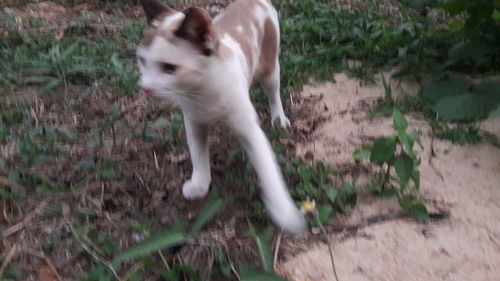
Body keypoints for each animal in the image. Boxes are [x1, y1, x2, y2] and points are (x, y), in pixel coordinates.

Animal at [138, 0, 308, 232]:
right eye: (142, 61)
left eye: (169, 68)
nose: (145, 88)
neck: (202, 92)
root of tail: (254, 1)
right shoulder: (194, 123)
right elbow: (198, 156)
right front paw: (199, 185)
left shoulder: (250, 131)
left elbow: (268, 171)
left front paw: (285, 213)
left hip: (270, 66)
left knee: (273, 91)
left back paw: (278, 119)